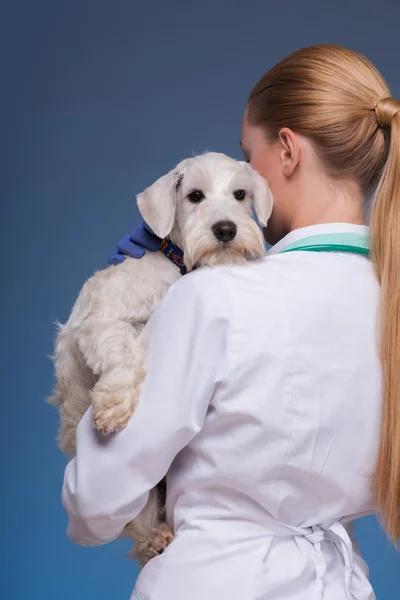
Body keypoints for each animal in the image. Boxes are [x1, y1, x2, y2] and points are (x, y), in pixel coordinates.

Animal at [50, 152, 274, 564]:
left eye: (240, 194)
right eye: (194, 195)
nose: (226, 230)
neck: (179, 266)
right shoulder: (102, 322)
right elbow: (122, 347)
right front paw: (114, 406)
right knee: (137, 518)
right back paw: (155, 538)